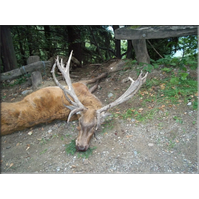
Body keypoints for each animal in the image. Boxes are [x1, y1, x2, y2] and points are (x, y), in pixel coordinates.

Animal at [0, 51, 148, 151]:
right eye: (79, 123)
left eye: (95, 127)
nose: (81, 147)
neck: (86, 97)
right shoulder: (80, 84)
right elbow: (94, 79)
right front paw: (104, 74)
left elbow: (95, 82)